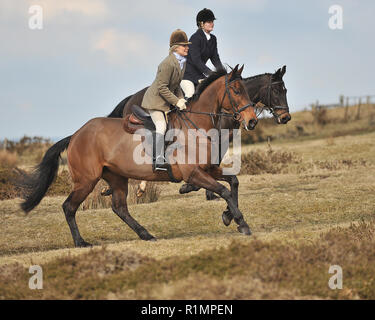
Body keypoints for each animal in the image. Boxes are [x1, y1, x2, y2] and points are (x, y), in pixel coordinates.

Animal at [19, 64, 258, 248]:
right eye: (236, 91)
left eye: (247, 90)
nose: (252, 121)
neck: (197, 125)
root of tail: (76, 134)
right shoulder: (193, 175)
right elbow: (224, 191)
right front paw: (240, 222)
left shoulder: (208, 169)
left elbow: (233, 183)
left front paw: (229, 216)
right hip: (87, 180)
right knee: (69, 207)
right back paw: (81, 242)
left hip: (116, 177)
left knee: (119, 208)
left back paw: (146, 234)